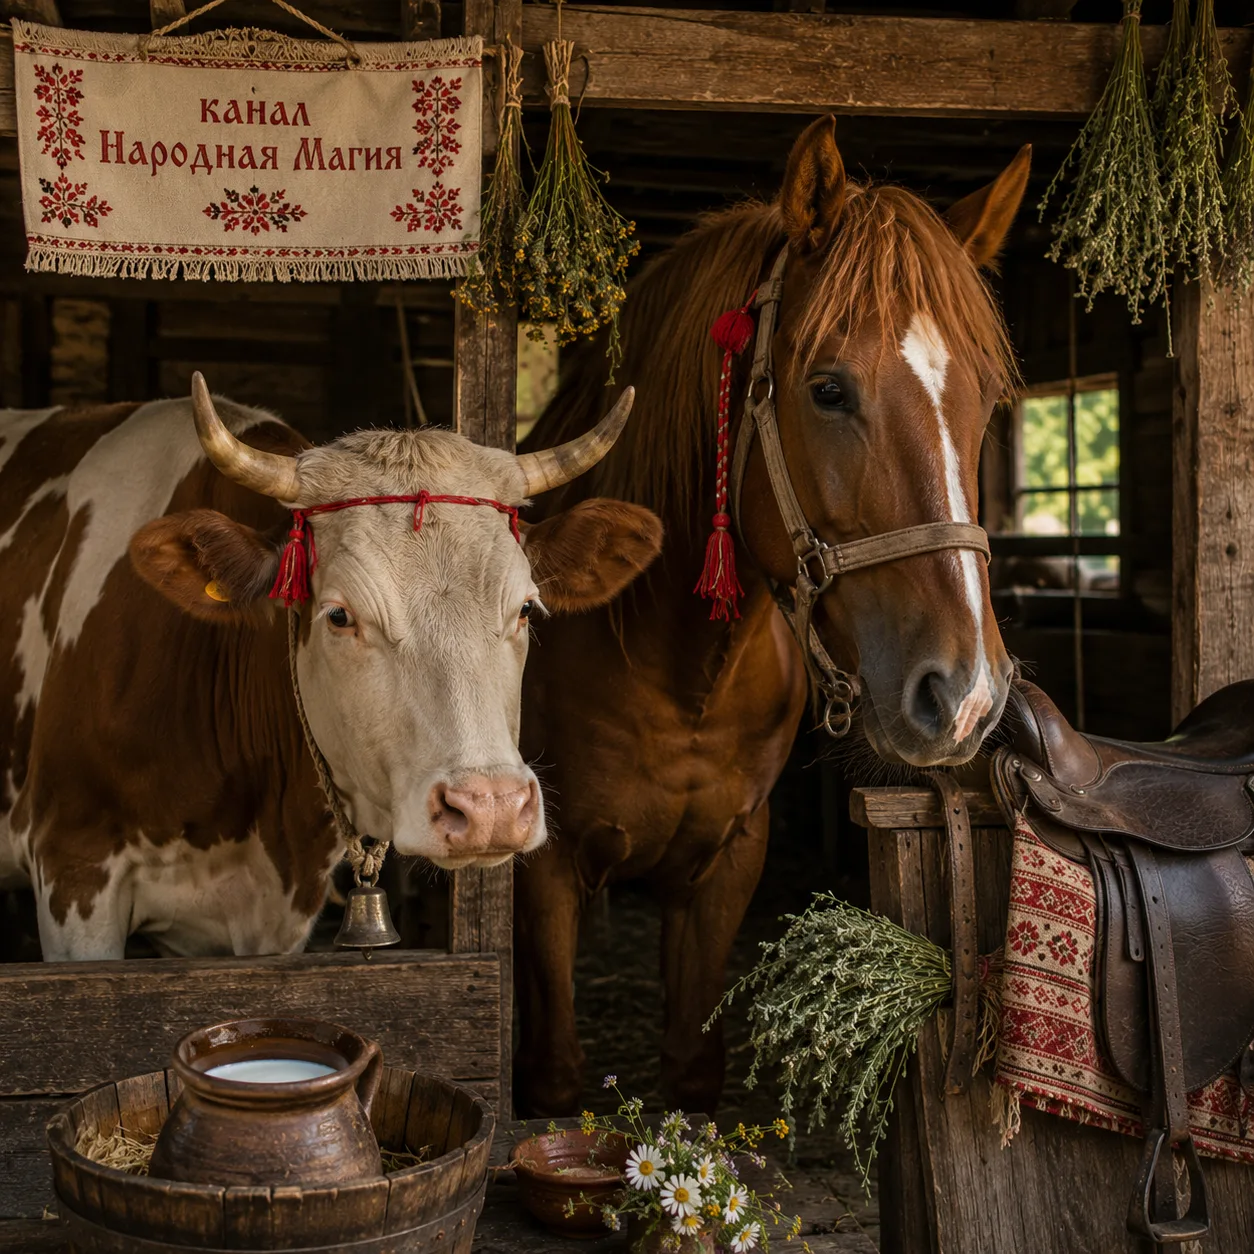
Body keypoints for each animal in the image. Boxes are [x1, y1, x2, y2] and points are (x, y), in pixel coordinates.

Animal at [514, 116, 1031, 1115]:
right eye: (828, 388)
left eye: (987, 401)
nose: (966, 696)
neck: (680, 673)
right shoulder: (544, 870)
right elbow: (551, 1079)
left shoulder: (728, 864)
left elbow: (690, 1071)